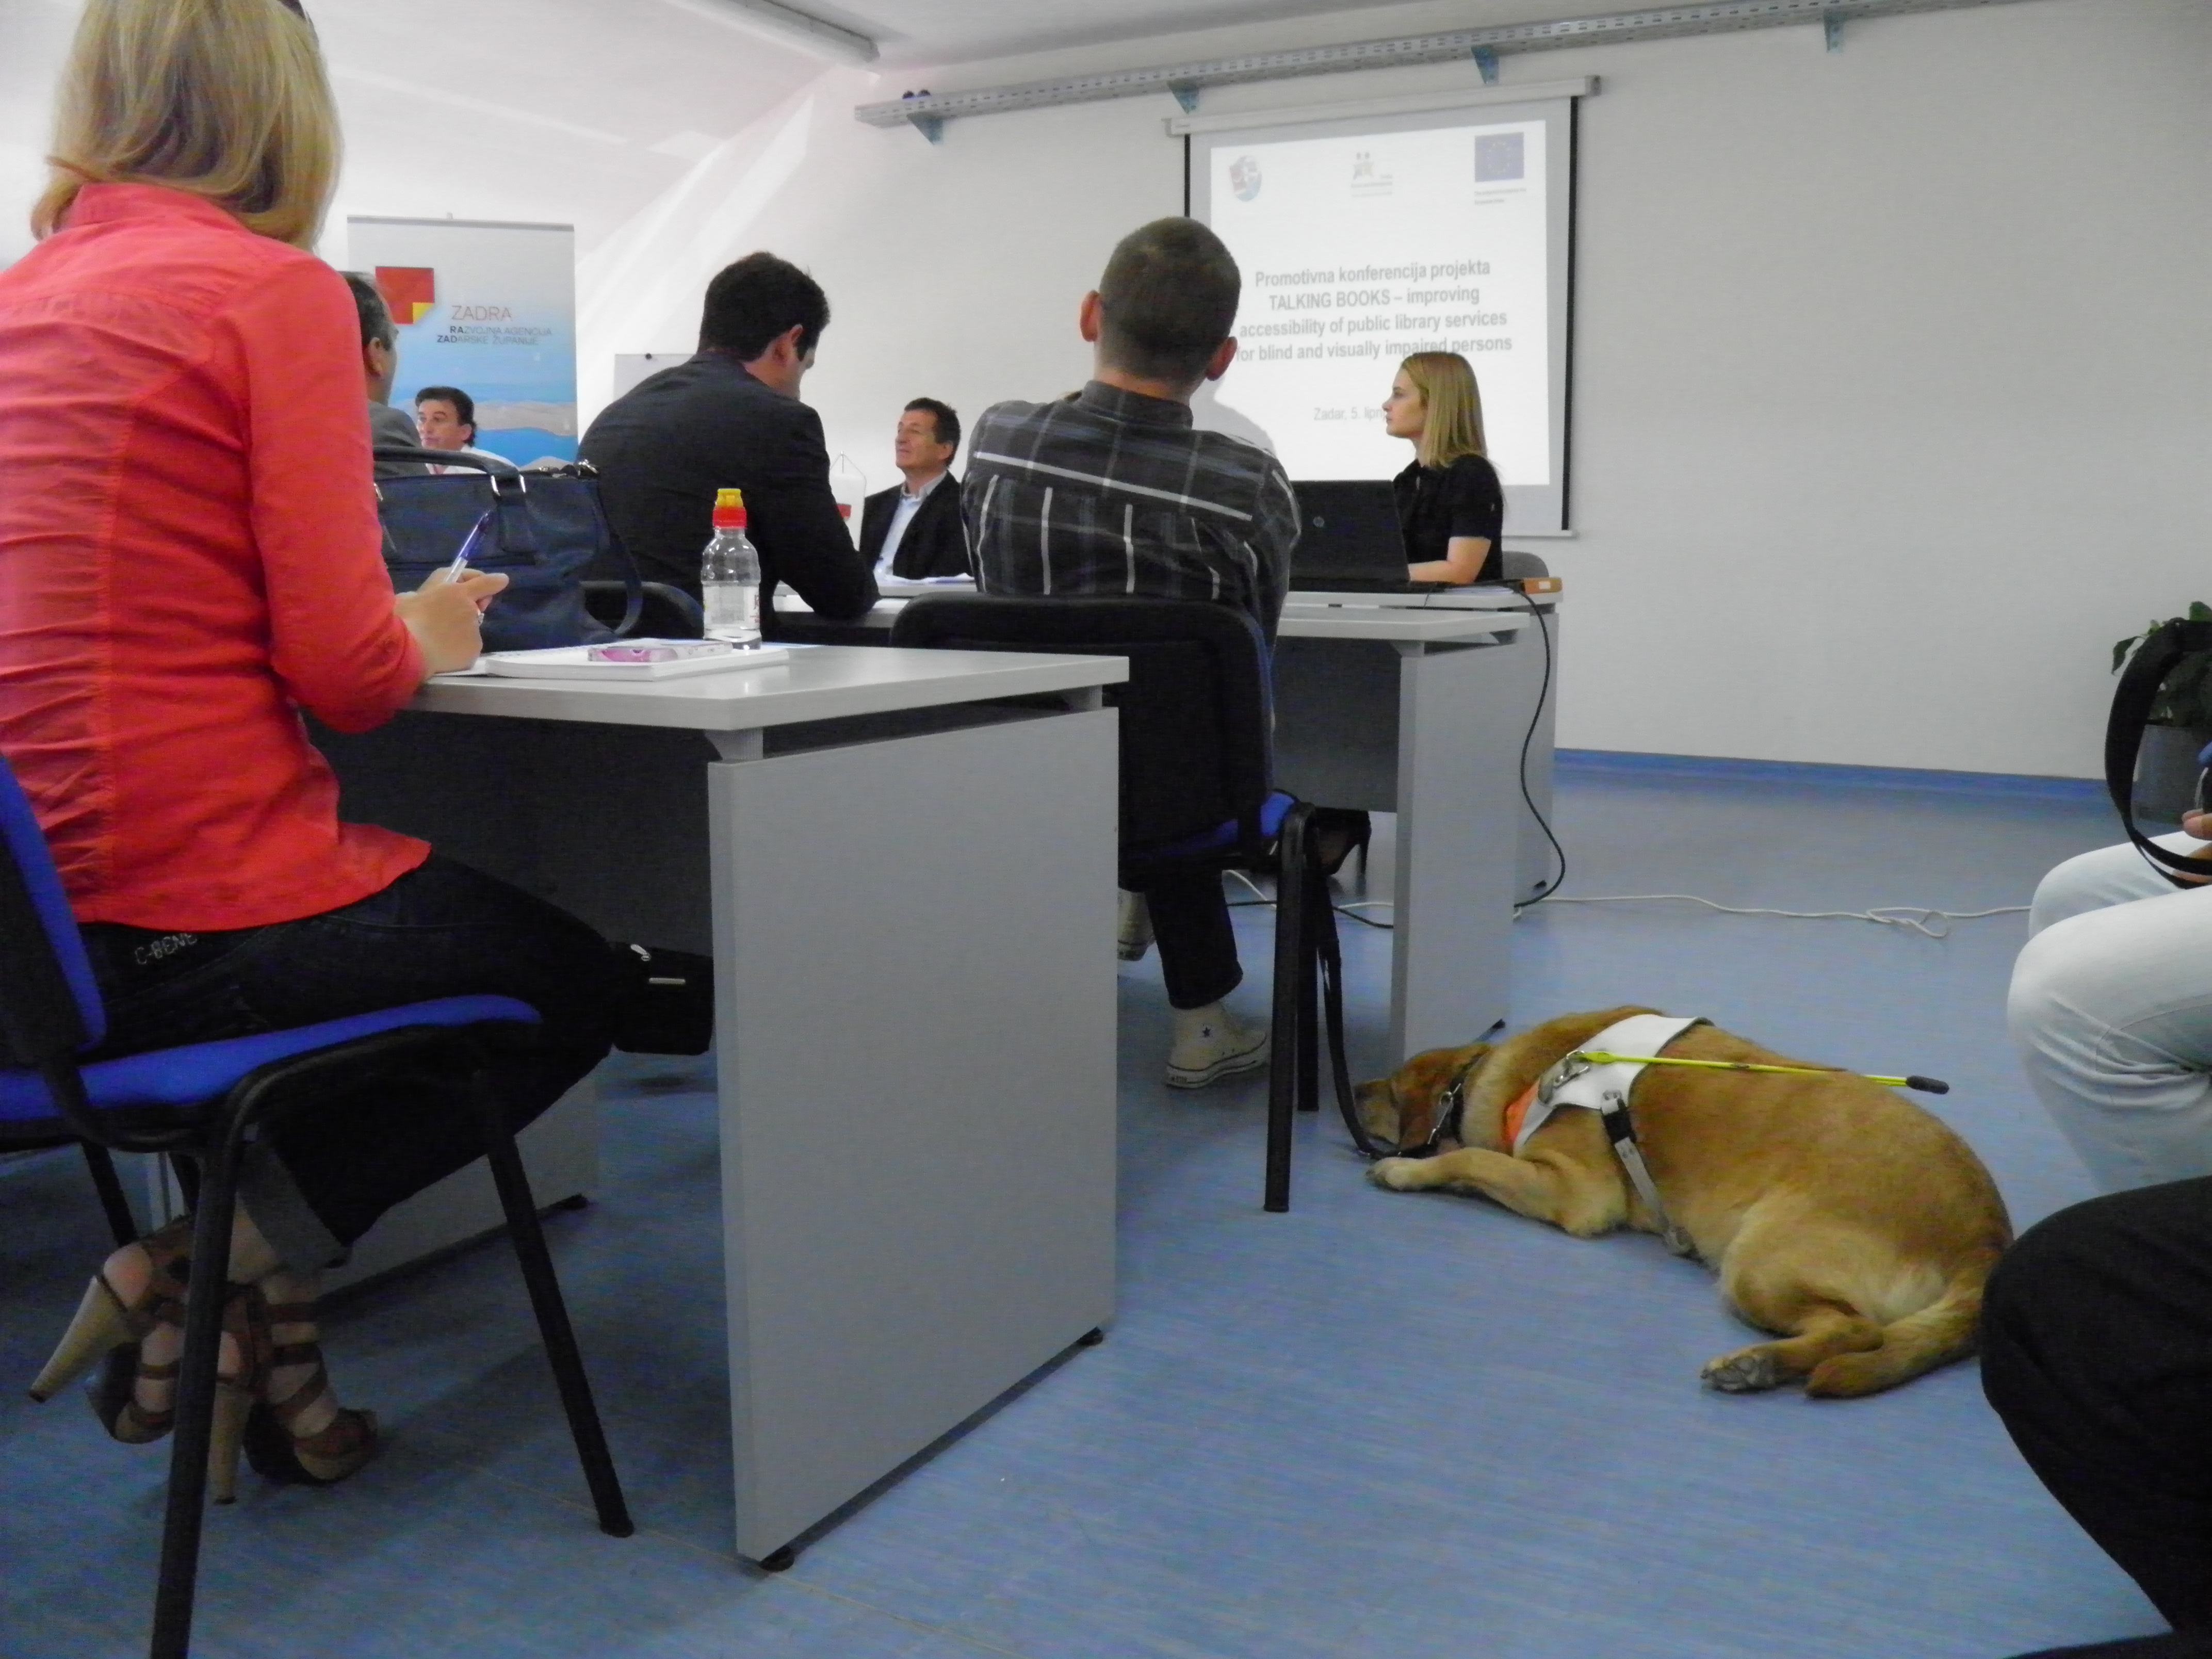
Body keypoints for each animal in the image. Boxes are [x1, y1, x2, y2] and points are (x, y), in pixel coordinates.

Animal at [1360, 1007, 2012, 1397]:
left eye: (1390, 1089)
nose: (1355, 1089)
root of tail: (1984, 1240)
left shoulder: (1574, 1189)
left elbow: (1470, 1159)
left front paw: (1405, 1170)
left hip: (1758, 1265)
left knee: (1857, 1332)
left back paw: (1756, 1363)